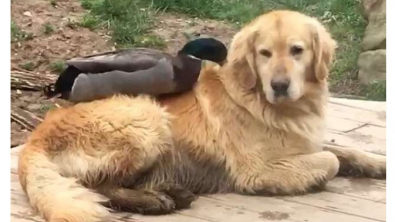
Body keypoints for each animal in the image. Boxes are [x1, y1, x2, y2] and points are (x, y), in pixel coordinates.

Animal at [17, 10, 386, 222]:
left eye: (297, 50)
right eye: (264, 53)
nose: (280, 85)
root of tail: (35, 136)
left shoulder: (303, 142)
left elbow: (343, 150)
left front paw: (376, 163)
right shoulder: (259, 170)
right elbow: (330, 161)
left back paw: (169, 192)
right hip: (147, 120)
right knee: (99, 185)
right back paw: (154, 200)